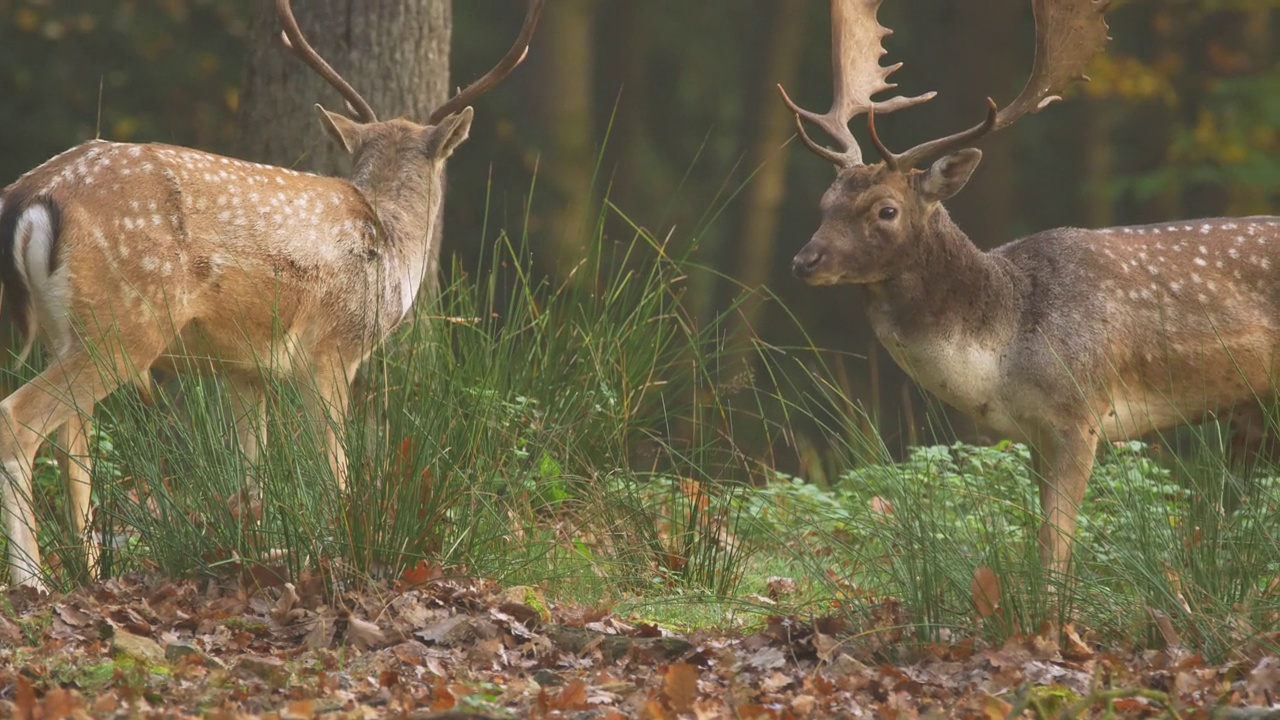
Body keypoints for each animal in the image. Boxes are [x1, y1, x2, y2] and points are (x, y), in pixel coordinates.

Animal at [0, 0, 545, 586]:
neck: (390, 244)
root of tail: (29, 196)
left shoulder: (246, 369)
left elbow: (250, 475)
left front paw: (253, 554)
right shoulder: (333, 351)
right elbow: (335, 468)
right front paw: (340, 553)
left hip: (70, 329)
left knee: (71, 443)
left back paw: (89, 572)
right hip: (127, 323)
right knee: (20, 419)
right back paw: (31, 580)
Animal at [778, 0, 1280, 576]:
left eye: (886, 210)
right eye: (825, 203)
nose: (804, 261)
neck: (1000, 354)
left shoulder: (1081, 412)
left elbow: (1053, 549)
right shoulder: (1034, 432)